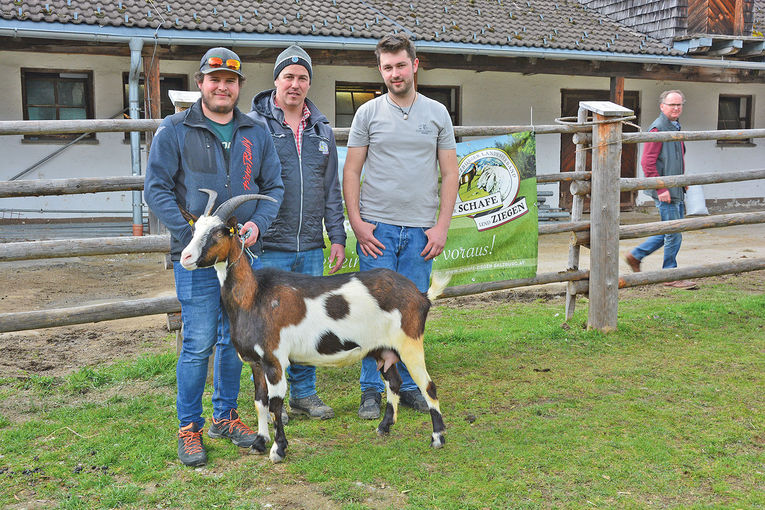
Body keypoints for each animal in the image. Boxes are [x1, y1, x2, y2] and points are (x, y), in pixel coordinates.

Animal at [179, 189, 448, 464]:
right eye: (194, 229)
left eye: (218, 232)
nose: (185, 257)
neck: (254, 297)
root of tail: (420, 295)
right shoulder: (255, 362)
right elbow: (259, 402)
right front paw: (258, 443)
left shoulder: (275, 360)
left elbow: (275, 405)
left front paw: (278, 450)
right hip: (382, 349)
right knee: (393, 381)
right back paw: (384, 427)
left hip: (409, 343)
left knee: (428, 386)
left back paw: (437, 438)